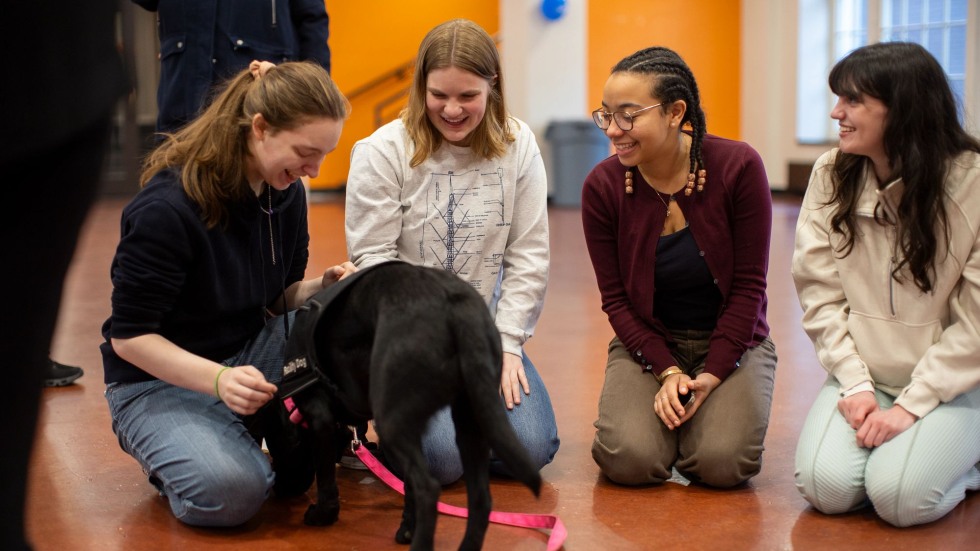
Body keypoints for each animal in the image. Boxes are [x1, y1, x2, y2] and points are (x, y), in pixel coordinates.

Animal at [276, 260, 540, 548]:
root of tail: (454, 304)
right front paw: (406, 527)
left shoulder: (319, 417)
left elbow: (325, 478)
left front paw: (323, 514)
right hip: (472, 421)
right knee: (479, 499)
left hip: (391, 422)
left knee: (427, 489)